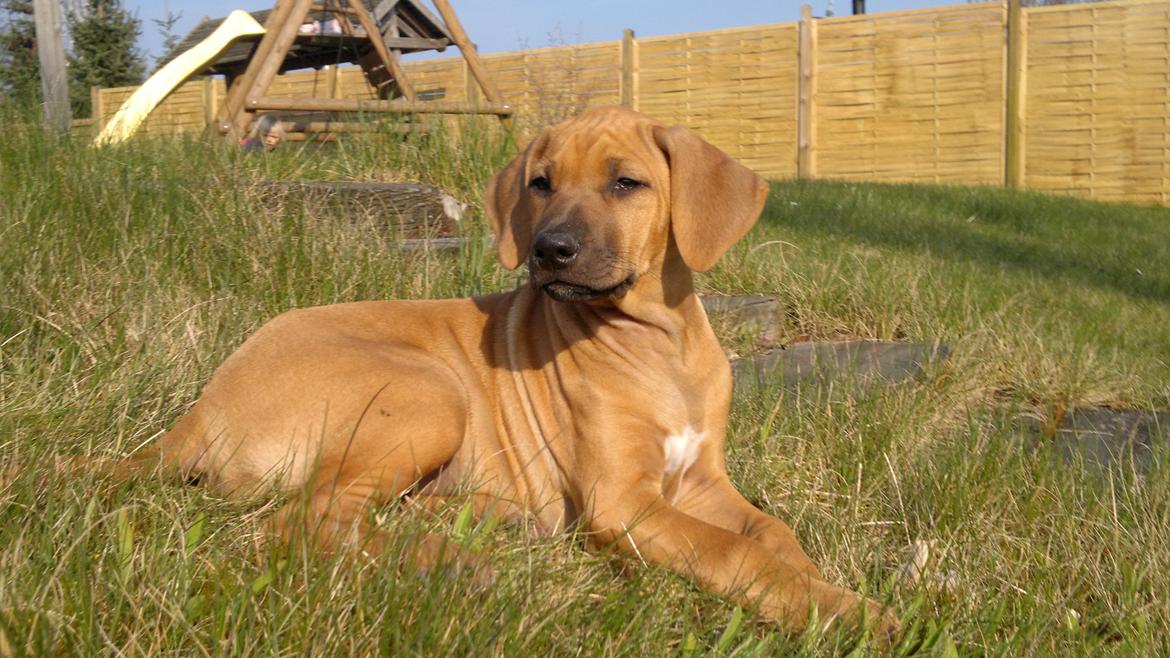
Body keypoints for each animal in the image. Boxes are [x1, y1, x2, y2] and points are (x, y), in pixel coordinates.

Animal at [102, 106, 893, 636]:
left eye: (627, 183)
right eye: (540, 183)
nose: (550, 250)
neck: (658, 345)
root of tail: (196, 415)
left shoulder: (700, 481)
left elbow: (772, 533)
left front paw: (816, 579)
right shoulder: (623, 502)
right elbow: (734, 552)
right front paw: (847, 611)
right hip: (428, 393)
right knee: (305, 520)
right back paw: (455, 563)